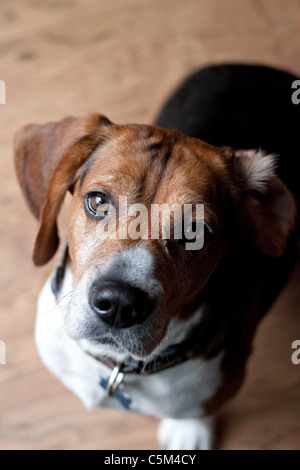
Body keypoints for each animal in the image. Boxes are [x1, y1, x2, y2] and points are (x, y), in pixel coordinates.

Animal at [14, 64, 300, 450]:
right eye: (98, 201)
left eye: (195, 232)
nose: (119, 304)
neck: (120, 367)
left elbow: (199, 409)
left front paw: (190, 430)